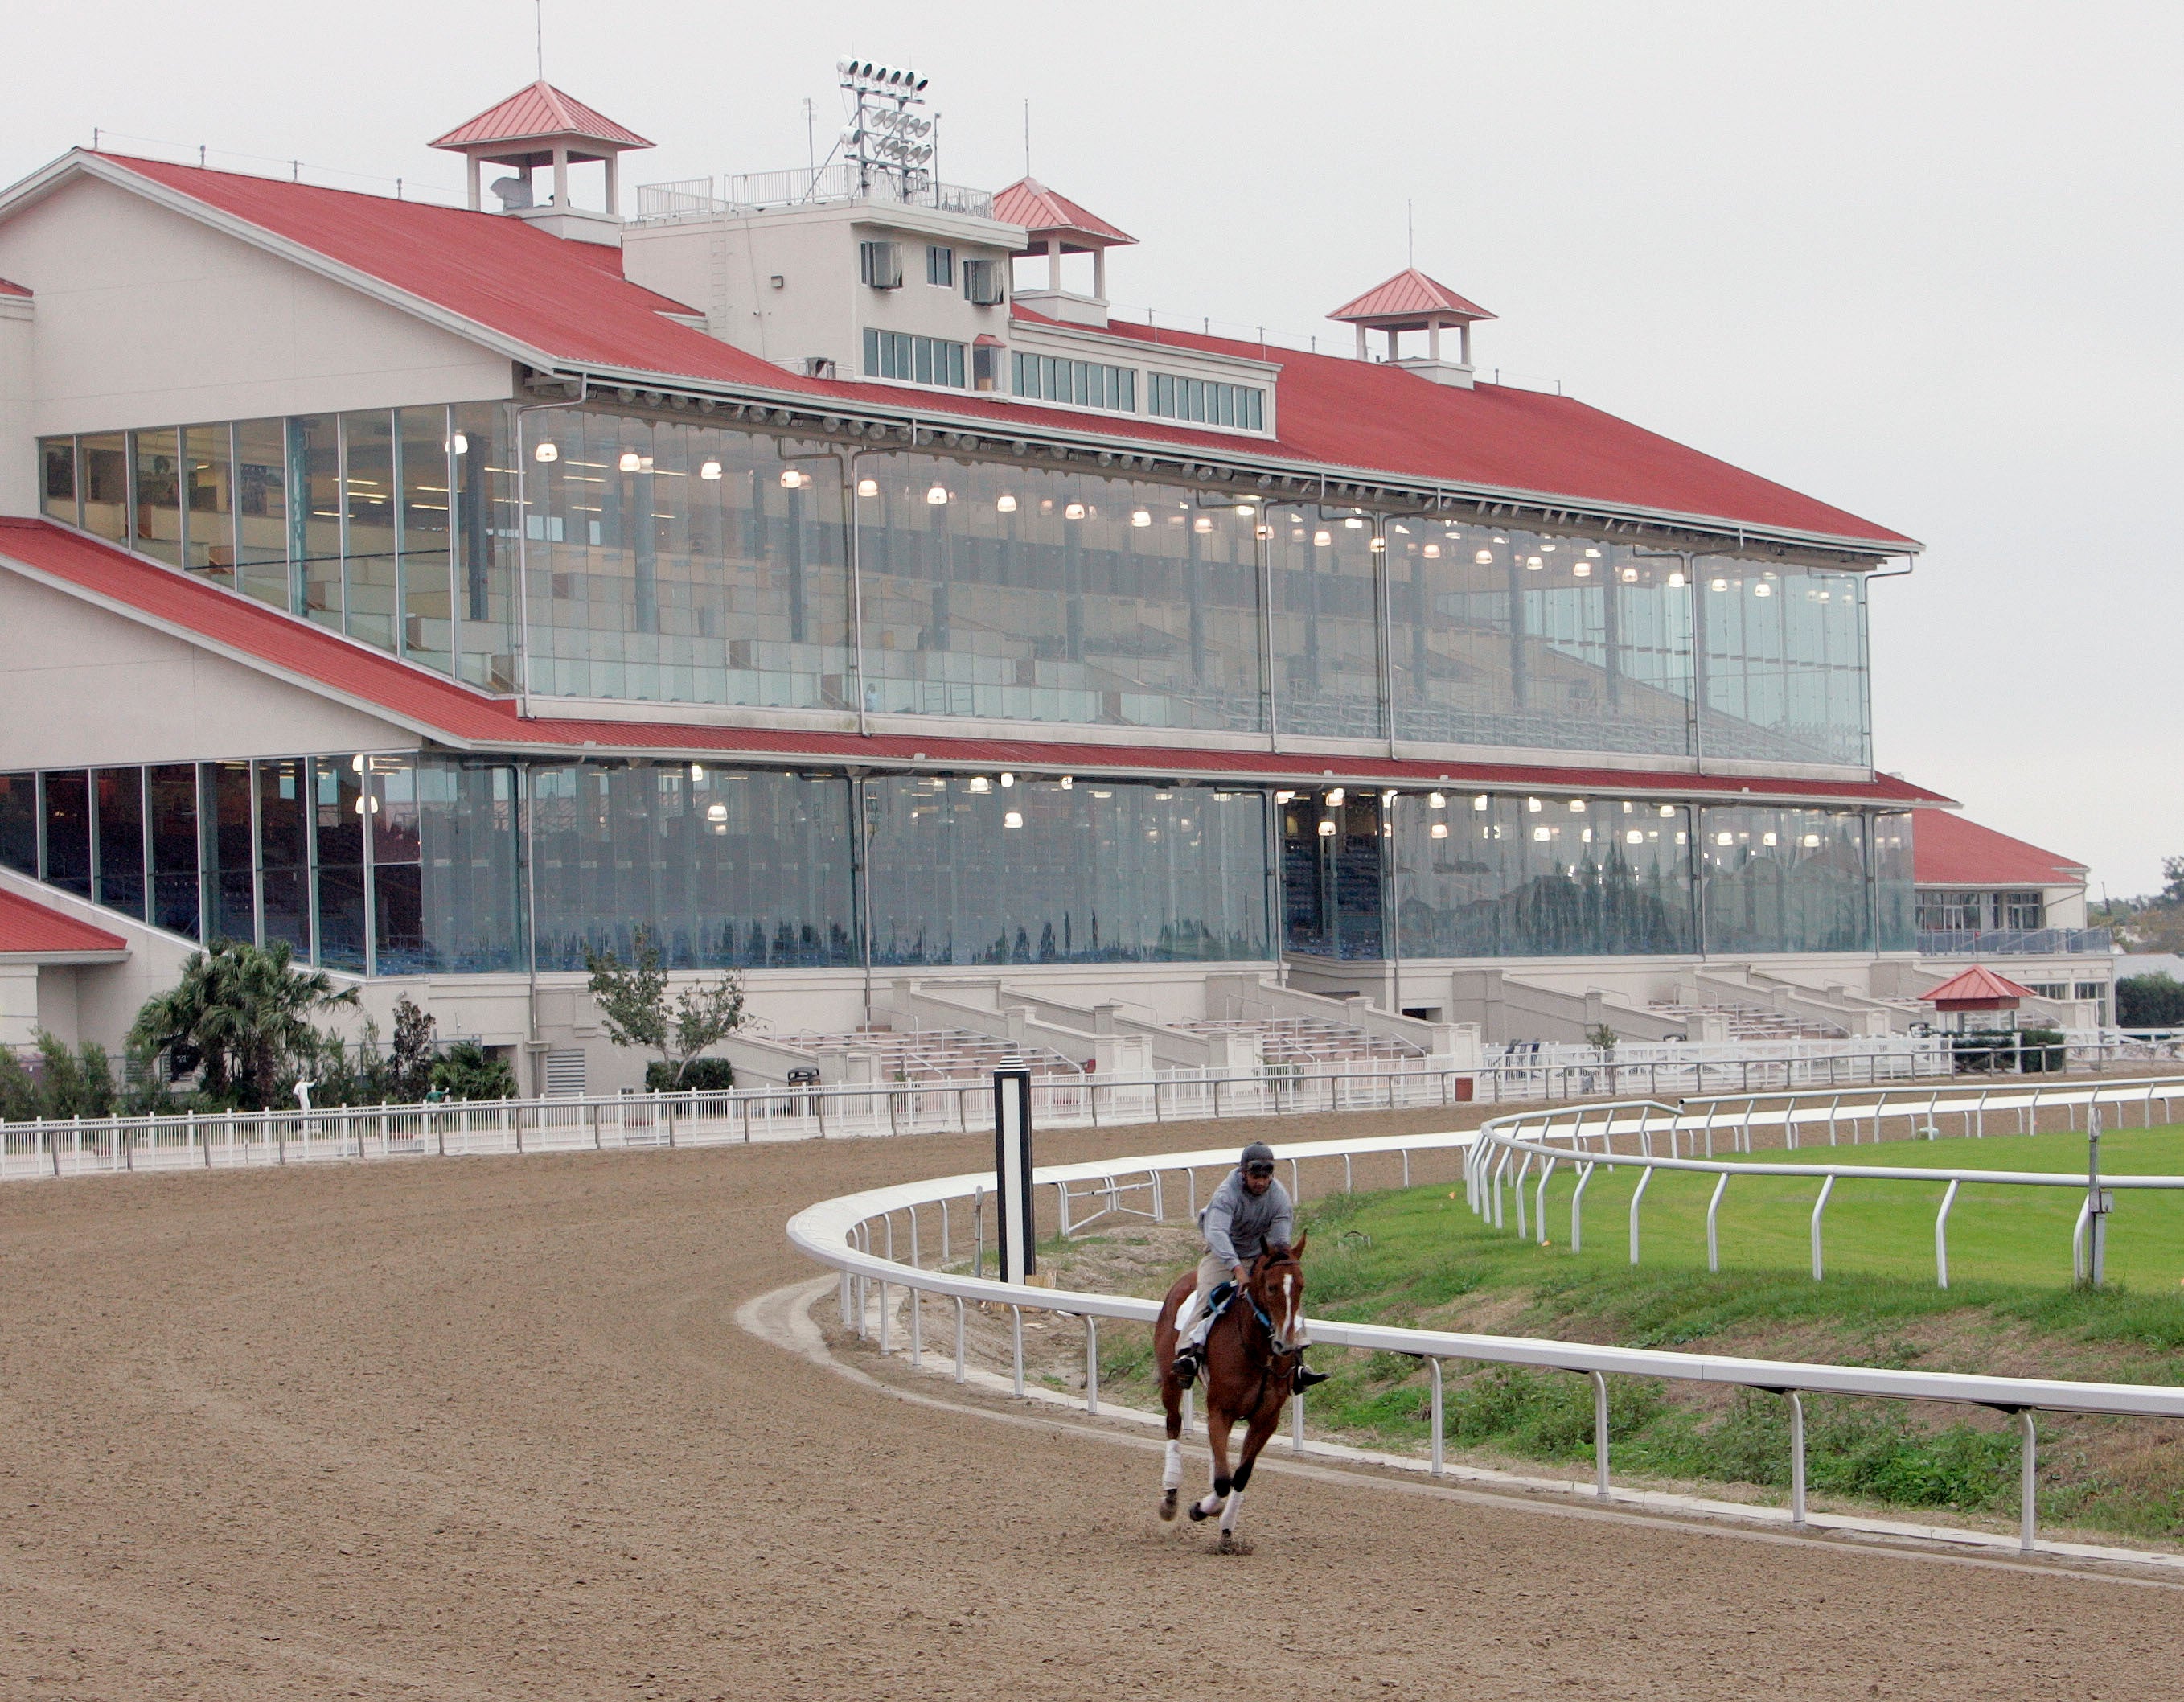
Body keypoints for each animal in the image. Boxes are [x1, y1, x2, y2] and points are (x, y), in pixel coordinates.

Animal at [1153, 1231, 1301, 1547]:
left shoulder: (1266, 1419)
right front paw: (1200, 1509)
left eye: (1301, 1286)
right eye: (1271, 1287)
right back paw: (1170, 1497)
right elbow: (1223, 1481)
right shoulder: (1220, 1410)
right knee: (1173, 1424)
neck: (1259, 1351)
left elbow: (1239, 1475)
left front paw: (1226, 1529)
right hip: (1171, 1379)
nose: (1286, 1343)